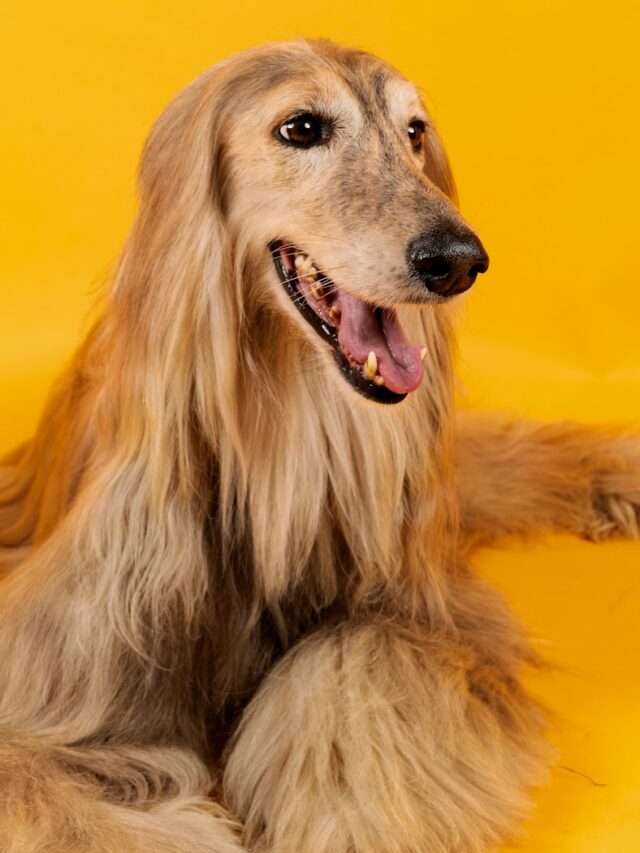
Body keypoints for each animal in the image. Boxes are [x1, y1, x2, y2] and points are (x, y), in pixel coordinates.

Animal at [1, 38, 640, 852]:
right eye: (302, 127)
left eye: (414, 131)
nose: (458, 260)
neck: (290, 425)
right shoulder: (70, 659)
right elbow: (45, 784)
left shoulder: (415, 594)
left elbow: (359, 662)